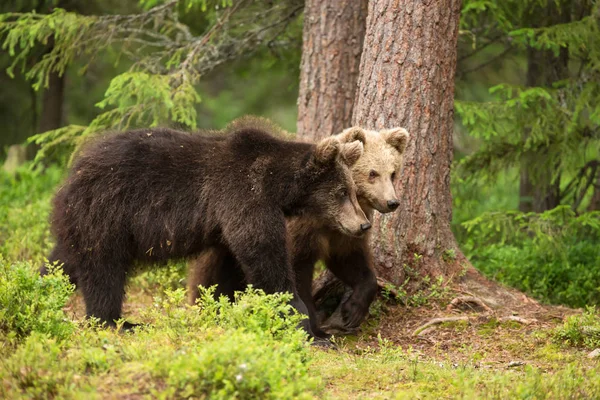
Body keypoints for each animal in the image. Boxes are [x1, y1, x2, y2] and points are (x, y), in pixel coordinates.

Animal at [42, 116, 368, 338]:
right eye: (341, 192)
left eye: (353, 190)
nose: (363, 224)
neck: (274, 184)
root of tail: (73, 171)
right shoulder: (241, 195)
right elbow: (265, 256)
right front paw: (301, 322)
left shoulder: (226, 223)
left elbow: (228, 266)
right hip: (107, 213)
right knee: (104, 271)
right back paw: (115, 321)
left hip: (84, 221)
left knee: (65, 260)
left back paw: (45, 287)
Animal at [188, 126, 410, 338]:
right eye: (373, 173)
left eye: (393, 172)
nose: (392, 202)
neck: (326, 216)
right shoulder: (299, 232)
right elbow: (296, 276)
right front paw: (315, 329)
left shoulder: (343, 232)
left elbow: (350, 261)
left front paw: (352, 310)